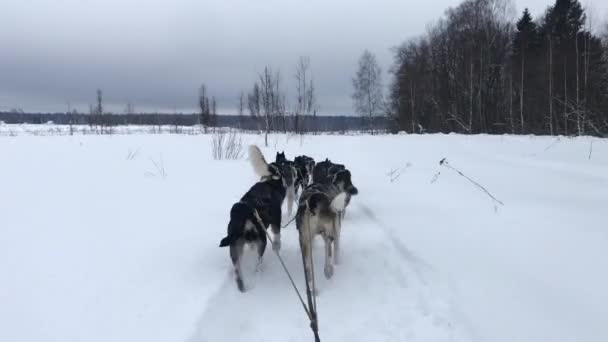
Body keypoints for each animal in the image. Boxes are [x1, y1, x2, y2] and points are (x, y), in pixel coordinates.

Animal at [218, 146, 284, 292]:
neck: (270, 183)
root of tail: (245, 214)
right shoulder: (276, 220)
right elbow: (277, 236)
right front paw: (277, 247)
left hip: (235, 248)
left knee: (238, 272)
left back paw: (242, 287)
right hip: (262, 241)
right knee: (257, 263)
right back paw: (258, 273)